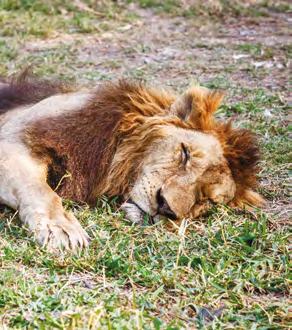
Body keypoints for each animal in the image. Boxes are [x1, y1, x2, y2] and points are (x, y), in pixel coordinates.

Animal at [0, 70, 264, 250]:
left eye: (206, 200)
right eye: (185, 153)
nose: (165, 206)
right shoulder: (14, 139)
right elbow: (41, 191)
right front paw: (61, 228)